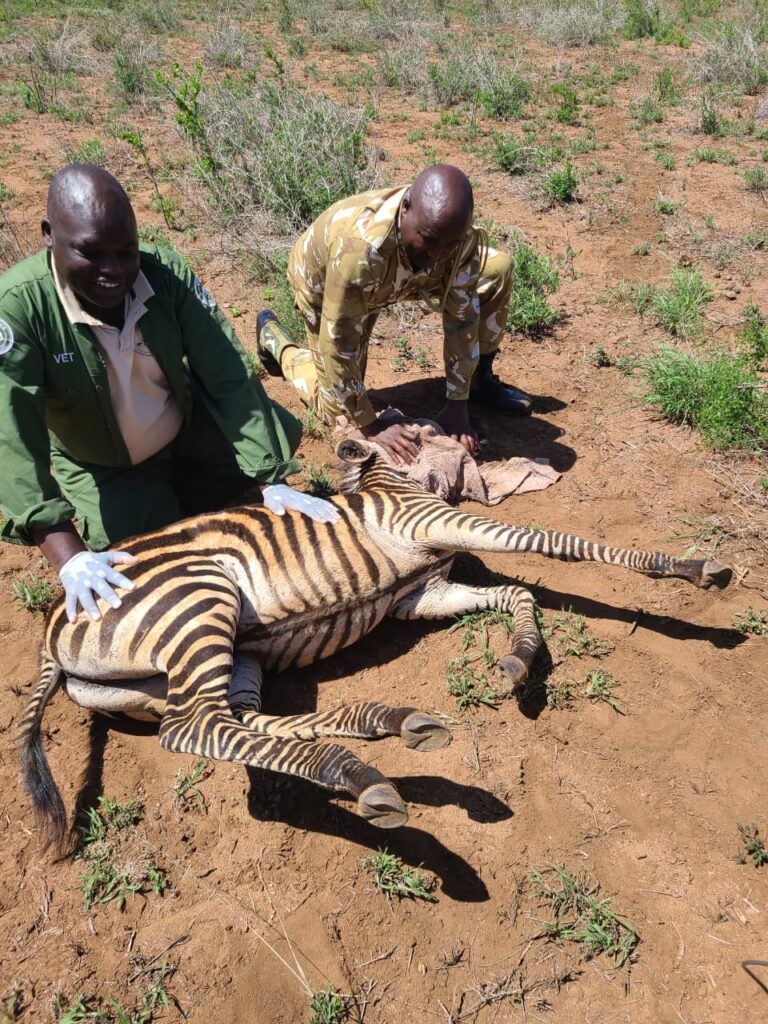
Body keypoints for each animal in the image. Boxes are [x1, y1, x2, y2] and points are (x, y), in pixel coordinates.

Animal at [19, 440, 733, 847]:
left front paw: (519, 661)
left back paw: (384, 729)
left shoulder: (418, 596)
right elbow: (558, 544)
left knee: (240, 722)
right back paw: (356, 767)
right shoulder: (434, 522)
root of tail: (52, 631)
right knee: (195, 730)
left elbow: (518, 597)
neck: (404, 479)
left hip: (218, 659)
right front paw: (692, 569)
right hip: (201, 604)